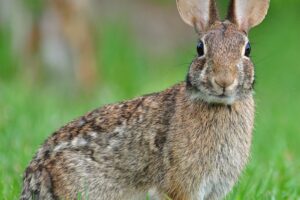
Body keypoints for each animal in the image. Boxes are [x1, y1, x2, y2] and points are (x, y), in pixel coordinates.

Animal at [20, 0, 270, 199]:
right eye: (200, 48)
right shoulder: (182, 186)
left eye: (247, 49)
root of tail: (37, 177)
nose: (224, 80)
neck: (219, 105)